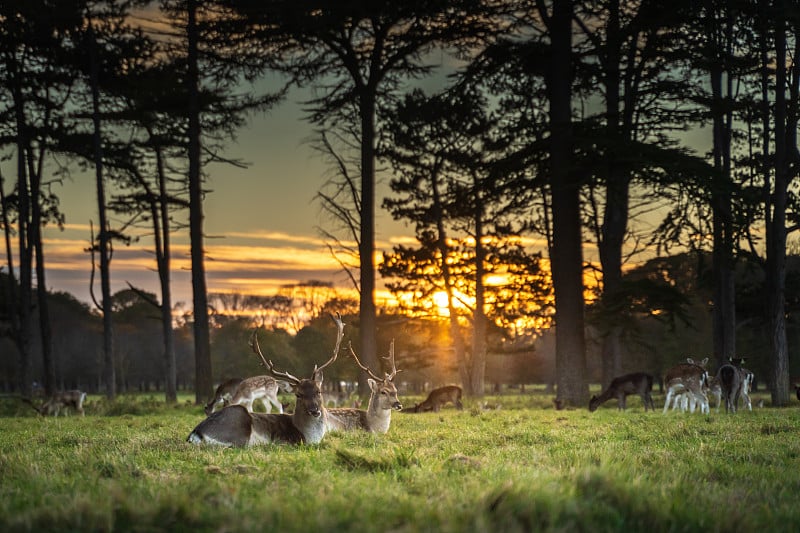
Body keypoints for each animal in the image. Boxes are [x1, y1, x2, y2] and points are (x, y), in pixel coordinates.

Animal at [190, 312, 346, 444]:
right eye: (298, 394)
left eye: (319, 391)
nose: (315, 410)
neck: (308, 436)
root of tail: (196, 433)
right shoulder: (283, 440)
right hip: (240, 424)